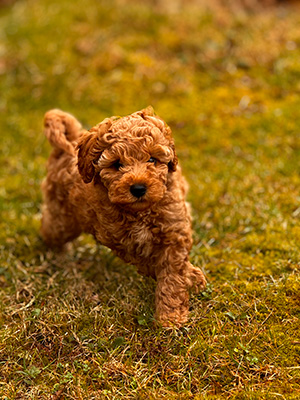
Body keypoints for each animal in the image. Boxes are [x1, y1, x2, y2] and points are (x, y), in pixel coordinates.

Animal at [41, 108, 207, 326]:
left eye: (152, 159)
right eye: (117, 164)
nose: (138, 188)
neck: (141, 212)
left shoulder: (174, 230)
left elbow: (172, 273)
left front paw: (171, 317)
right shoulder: (120, 238)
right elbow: (151, 261)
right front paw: (188, 283)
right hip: (62, 221)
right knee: (50, 228)